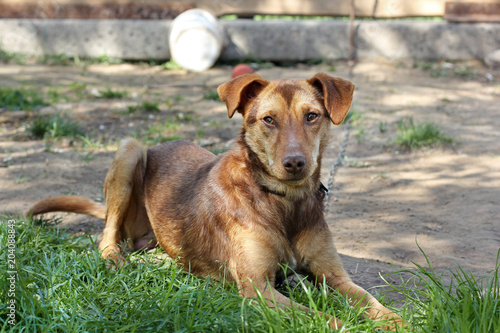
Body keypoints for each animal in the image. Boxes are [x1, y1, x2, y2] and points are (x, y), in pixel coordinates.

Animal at [26, 72, 402, 326]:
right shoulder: (258, 288)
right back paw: (121, 258)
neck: (285, 201)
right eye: (268, 119)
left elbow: (370, 300)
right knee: (107, 238)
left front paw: (395, 319)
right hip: (130, 151)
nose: (295, 163)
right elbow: (321, 318)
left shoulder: (334, 276)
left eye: (312, 115)